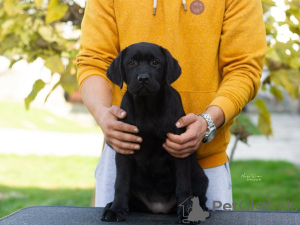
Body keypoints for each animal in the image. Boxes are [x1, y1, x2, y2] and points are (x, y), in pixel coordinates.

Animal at [101, 42, 209, 223]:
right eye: (131, 63)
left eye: (155, 62)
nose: (143, 78)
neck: (147, 110)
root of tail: (158, 208)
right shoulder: (125, 148)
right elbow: (120, 184)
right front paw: (116, 210)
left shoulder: (178, 148)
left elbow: (183, 186)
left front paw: (185, 213)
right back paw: (111, 205)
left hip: (200, 177)